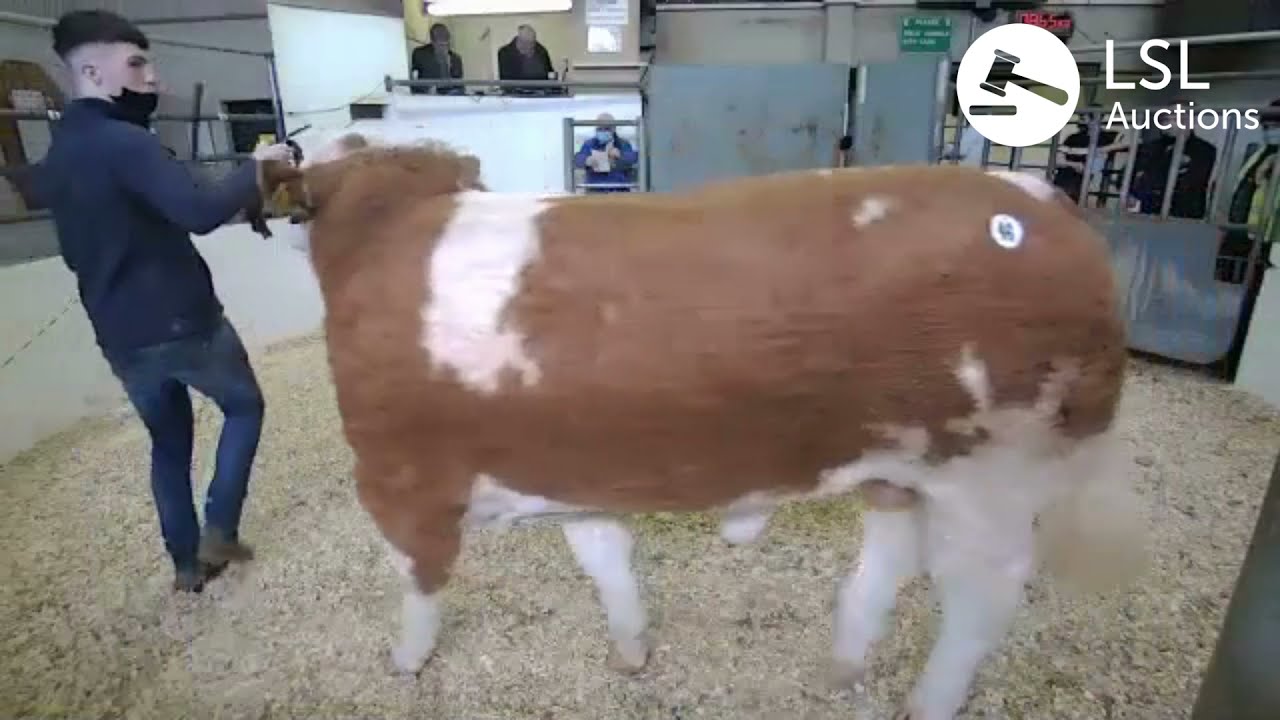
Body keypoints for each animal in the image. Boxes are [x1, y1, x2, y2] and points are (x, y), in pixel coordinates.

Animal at [259, 134, 1149, 720]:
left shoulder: (396, 479)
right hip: (904, 467)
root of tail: (1044, 199)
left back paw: (928, 702)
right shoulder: (569, 465)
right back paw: (842, 667)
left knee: (979, 602)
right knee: (891, 560)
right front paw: (631, 650)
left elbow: (418, 584)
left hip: (994, 478)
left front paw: (405, 662)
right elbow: (605, 561)